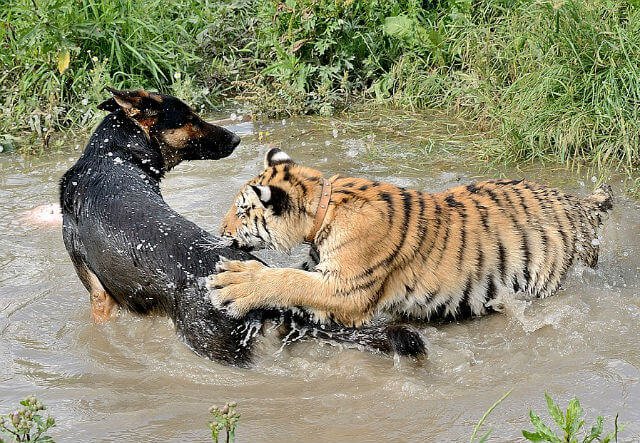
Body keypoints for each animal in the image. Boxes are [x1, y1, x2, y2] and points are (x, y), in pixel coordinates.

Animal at [58, 88, 420, 366]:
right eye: (190, 119)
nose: (234, 138)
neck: (113, 155)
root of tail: (262, 284)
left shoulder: (99, 297)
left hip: (219, 350)